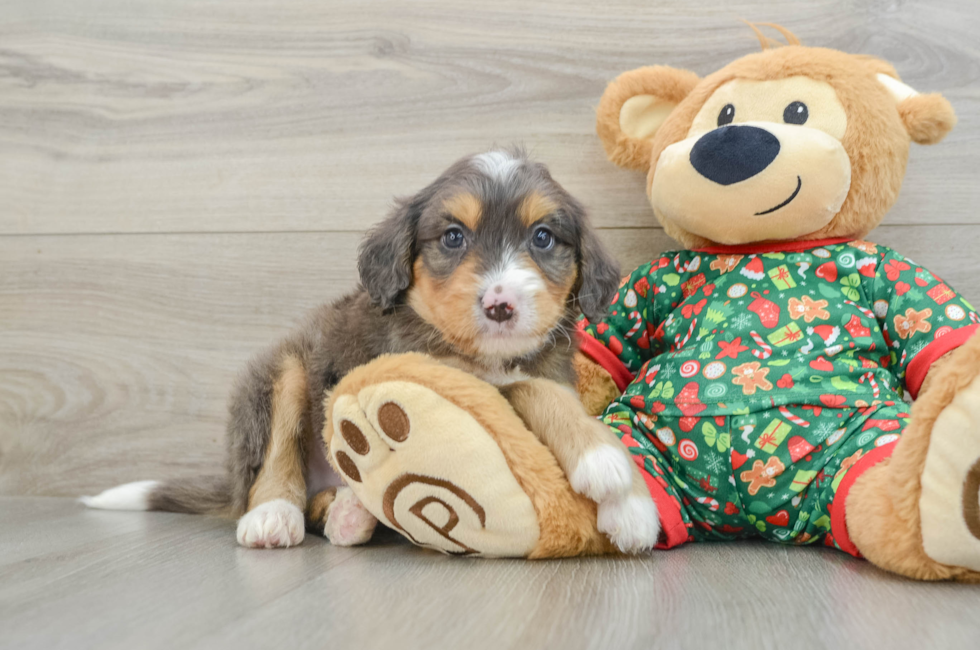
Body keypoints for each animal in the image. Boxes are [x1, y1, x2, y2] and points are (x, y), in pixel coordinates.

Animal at [84, 149, 664, 548]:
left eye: (543, 237)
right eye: (453, 237)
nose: (500, 306)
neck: (488, 355)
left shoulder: (546, 367)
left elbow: (549, 394)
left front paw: (626, 503)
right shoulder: (440, 374)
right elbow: (525, 394)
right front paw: (606, 466)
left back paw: (349, 515)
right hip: (285, 366)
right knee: (274, 462)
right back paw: (275, 516)